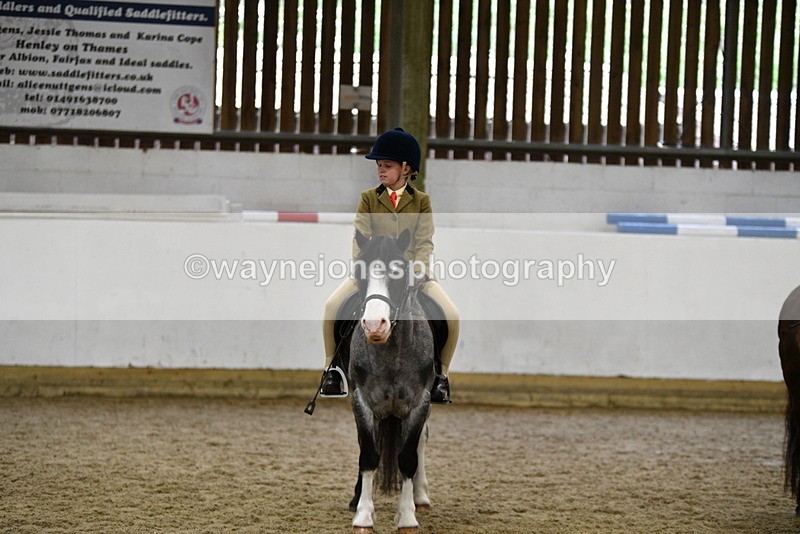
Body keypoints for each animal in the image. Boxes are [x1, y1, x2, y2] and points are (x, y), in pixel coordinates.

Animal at [346, 229, 436, 533]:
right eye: (359, 273)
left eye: (398, 273)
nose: (375, 326)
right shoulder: (362, 400)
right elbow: (368, 455)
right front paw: (363, 515)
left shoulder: (419, 402)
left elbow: (407, 458)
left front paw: (407, 517)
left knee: (421, 441)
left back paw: (421, 496)